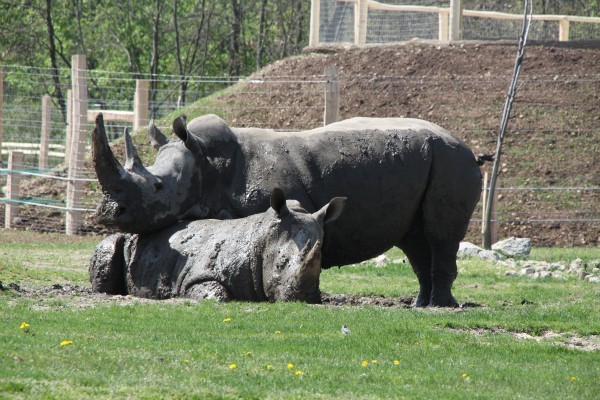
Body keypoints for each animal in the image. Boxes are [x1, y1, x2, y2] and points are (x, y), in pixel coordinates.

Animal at [88, 189, 342, 302]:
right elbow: (217, 293)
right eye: (280, 264)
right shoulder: (195, 275)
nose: (305, 298)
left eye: (321, 264)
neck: (261, 238)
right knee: (110, 246)